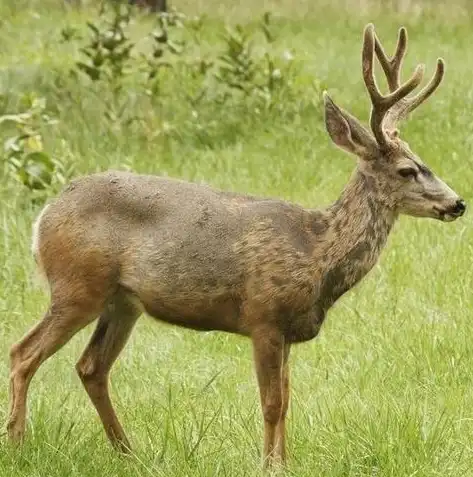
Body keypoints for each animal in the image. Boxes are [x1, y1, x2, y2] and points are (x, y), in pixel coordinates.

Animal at [6, 23, 464, 468]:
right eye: (407, 170)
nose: (457, 203)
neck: (316, 251)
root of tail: (45, 215)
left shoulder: (288, 332)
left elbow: (287, 400)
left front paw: (285, 464)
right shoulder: (264, 317)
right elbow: (272, 404)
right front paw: (269, 467)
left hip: (123, 301)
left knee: (90, 366)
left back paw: (128, 453)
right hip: (78, 285)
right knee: (22, 353)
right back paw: (17, 444)